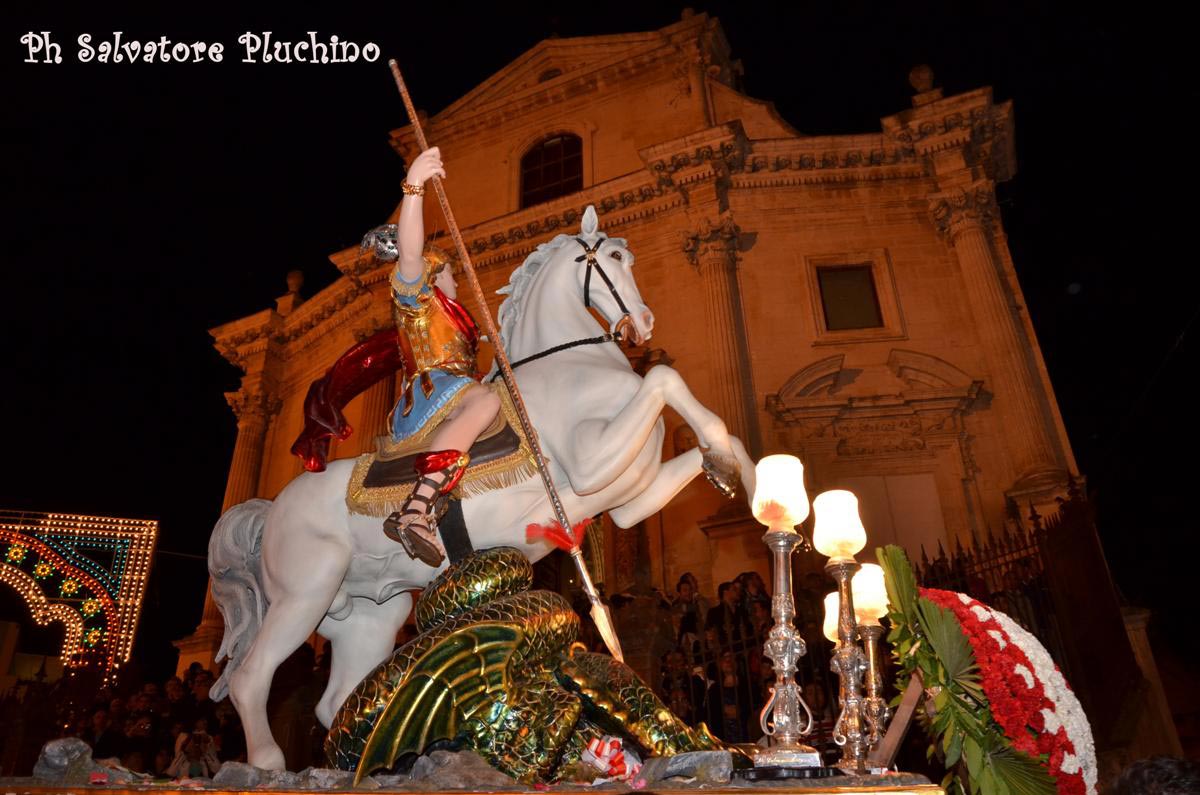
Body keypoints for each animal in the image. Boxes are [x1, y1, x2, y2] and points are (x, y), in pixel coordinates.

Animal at [205, 206, 748, 773]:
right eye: (616, 256)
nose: (642, 324)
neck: (573, 365)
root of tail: (270, 511)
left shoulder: (628, 502)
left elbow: (714, 431)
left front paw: (737, 477)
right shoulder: (589, 463)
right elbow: (665, 378)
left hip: (370, 615)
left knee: (339, 702)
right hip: (305, 594)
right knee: (251, 677)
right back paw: (268, 762)